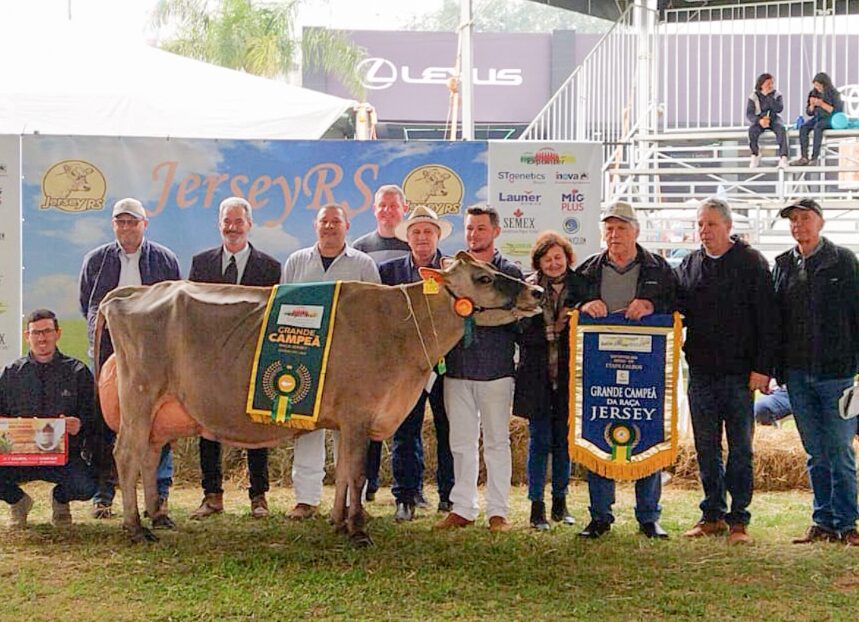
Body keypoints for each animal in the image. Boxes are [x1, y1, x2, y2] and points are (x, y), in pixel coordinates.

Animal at [97, 252, 540, 544]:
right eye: (483, 279)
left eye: (495, 271)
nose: (535, 290)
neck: (401, 327)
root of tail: (134, 291)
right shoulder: (360, 414)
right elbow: (357, 474)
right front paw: (358, 529)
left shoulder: (347, 419)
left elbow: (342, 472)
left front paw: (338, 521)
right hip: (140, 395)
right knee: (126, 454)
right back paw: (136, 528)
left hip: (159, 410)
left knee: (148, 455)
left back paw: (159, 517)